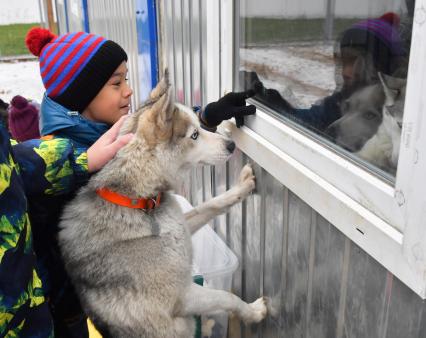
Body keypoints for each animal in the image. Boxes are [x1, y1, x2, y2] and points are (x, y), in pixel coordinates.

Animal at [58, 70, 266, 336]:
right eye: (194, 135)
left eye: (199, 127)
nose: (231, 145)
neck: (139, 202)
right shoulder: (184, 296)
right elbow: (226, 297)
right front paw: (254, 311)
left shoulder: (181, 224)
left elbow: (210, 205)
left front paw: (241, 187)